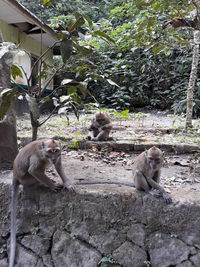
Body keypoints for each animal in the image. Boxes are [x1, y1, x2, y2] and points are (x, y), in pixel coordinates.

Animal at [9, 138, 74, 267]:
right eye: (50, 151)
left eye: (56, 150)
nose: (53, 158)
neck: (44, 153)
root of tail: (15, 174)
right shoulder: (38, 157)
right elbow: (33, 170)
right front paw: (52, 185)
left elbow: (58, 165)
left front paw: (67, 183)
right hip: (26, 178)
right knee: (36, 172)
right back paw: (42, 183)